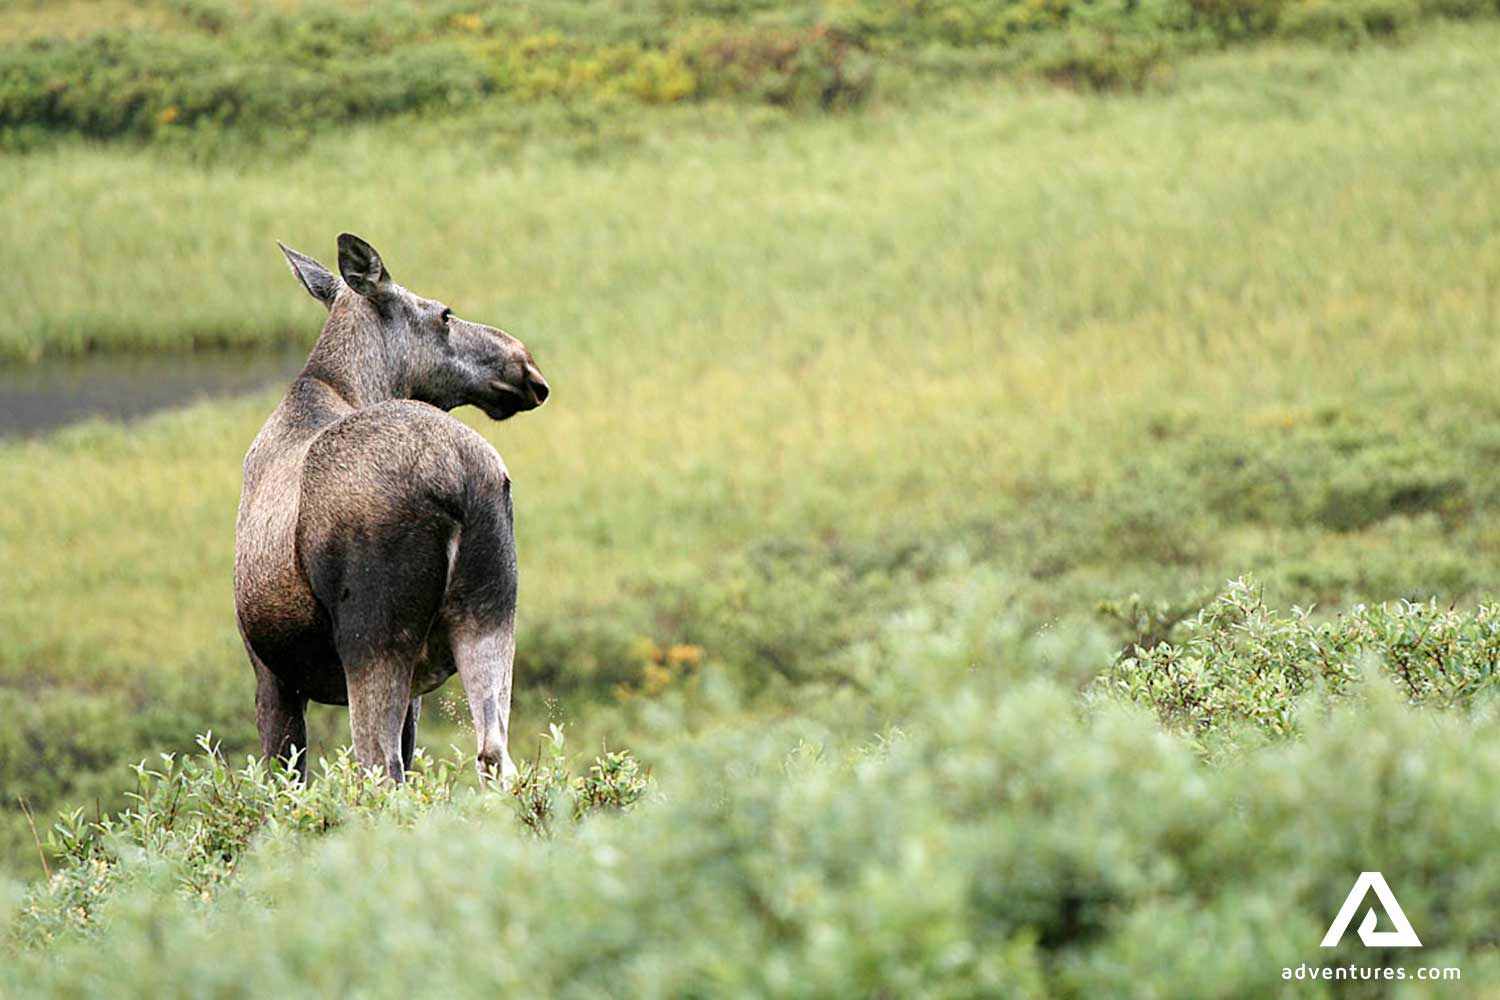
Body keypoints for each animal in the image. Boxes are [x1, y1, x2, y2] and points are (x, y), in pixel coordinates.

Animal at [233, 233, 549, 783]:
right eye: (446, 314)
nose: (525, 366)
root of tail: (456, 477)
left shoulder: (270, 671)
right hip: (492, 609)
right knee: (494, 753)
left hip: (373, 635)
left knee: (381, 767)